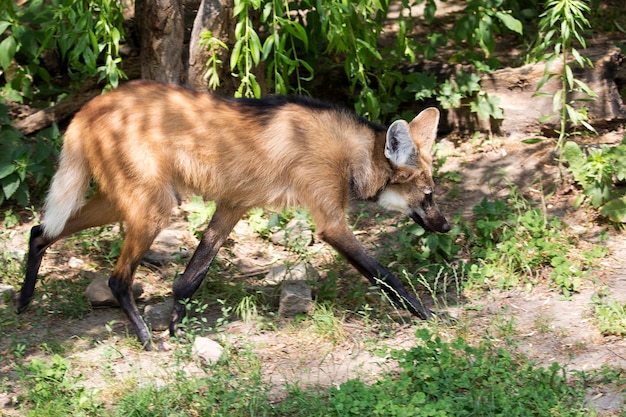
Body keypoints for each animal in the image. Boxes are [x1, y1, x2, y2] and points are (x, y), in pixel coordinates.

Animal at [15, 79, 448, 348]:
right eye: (428, 196)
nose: (445, 225)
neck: (351, 154)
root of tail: (91, 104)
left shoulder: (234, 205)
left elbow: (192, 276)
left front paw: (178, 323)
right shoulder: (329, 221)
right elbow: (384, 273)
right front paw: (428, 314)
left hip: (124, 198)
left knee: (41, 229)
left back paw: (23, 300)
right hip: (154, 207)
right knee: (117, 278)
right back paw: (145, 339)